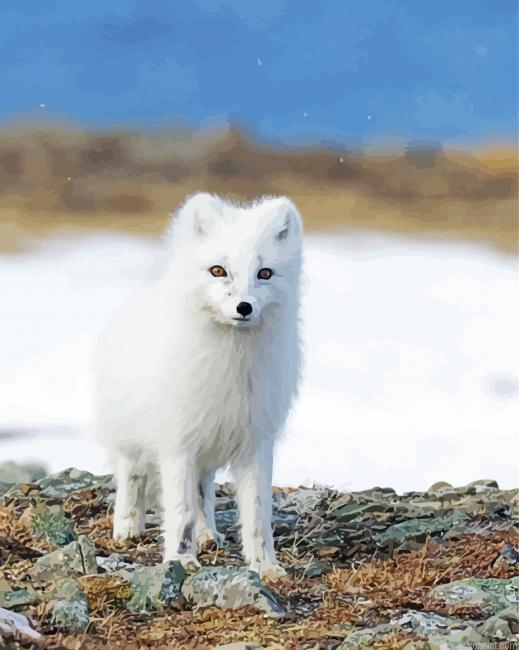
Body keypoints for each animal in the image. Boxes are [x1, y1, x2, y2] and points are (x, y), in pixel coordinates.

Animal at [95, 192, 303, 579]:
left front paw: (265, 566)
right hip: (131, 437)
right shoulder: (178, 444)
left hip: (210, 448)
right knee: (132, 477)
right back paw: (128, 527)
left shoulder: (256, 442)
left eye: (264, 273)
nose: (244, 307)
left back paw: (208, 535)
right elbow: (180, 508)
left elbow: (257, 513)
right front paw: (180, 560)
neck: (231, 361)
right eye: (218, 270)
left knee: (204, 491)